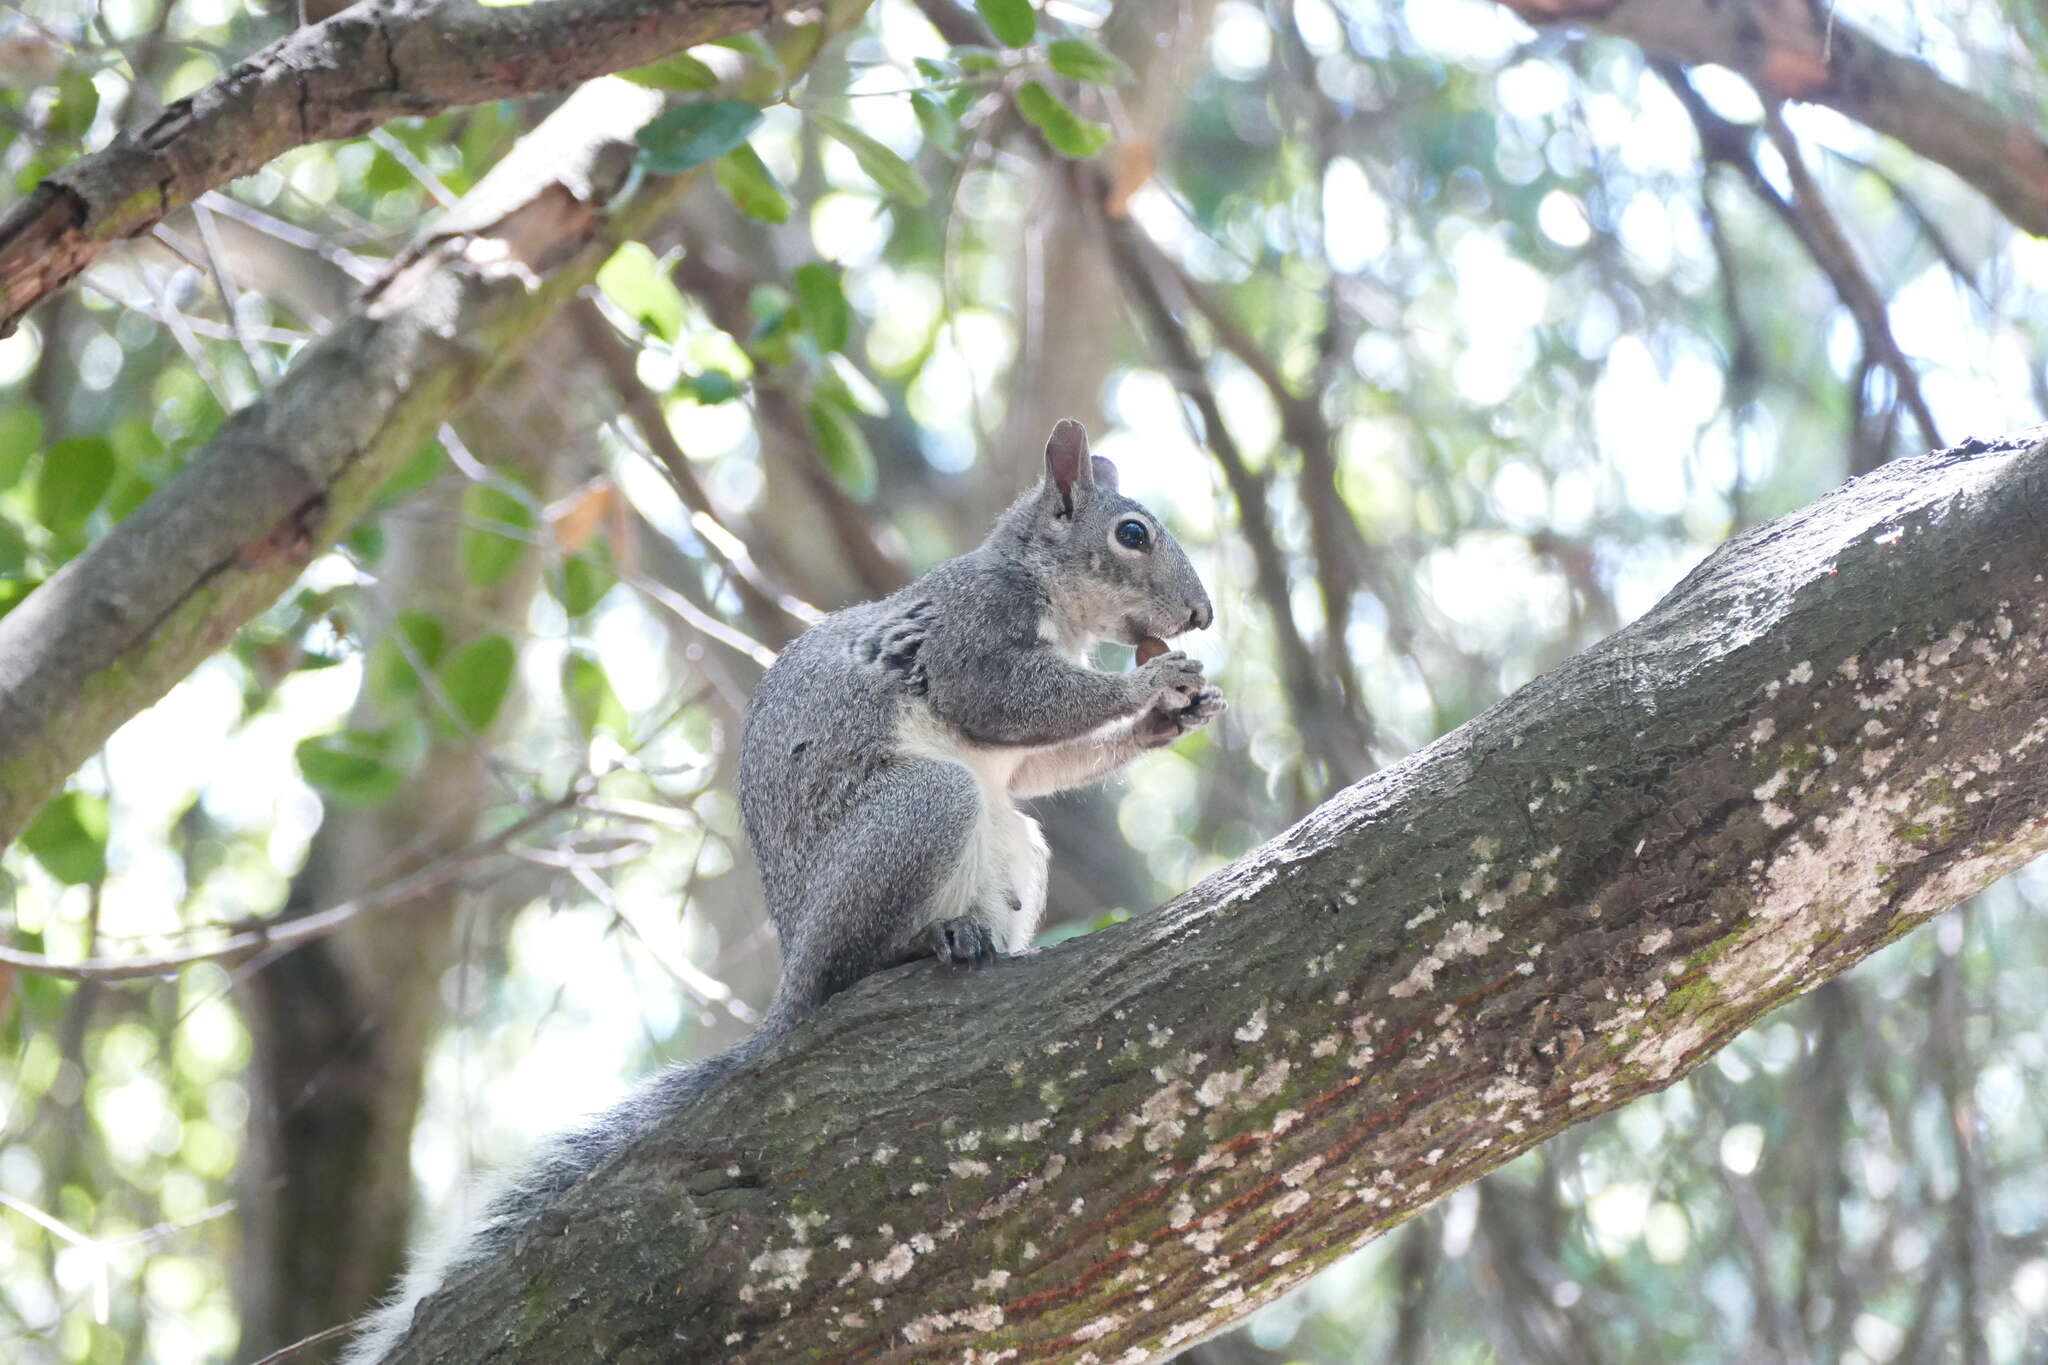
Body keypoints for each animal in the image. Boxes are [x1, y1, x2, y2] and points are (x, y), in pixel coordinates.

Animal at [344, 421, 1220, 1358]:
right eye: (1132, 533)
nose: (1202, 614)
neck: (1037, 581)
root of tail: (791, 984)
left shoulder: (1016, 738)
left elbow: (1041, 764)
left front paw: (1172, 714)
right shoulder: (969, 633)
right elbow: (1009, 698)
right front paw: (1147, 687)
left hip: (1013, 846)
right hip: (922, 811)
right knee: (857, 963)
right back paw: (928, 941)